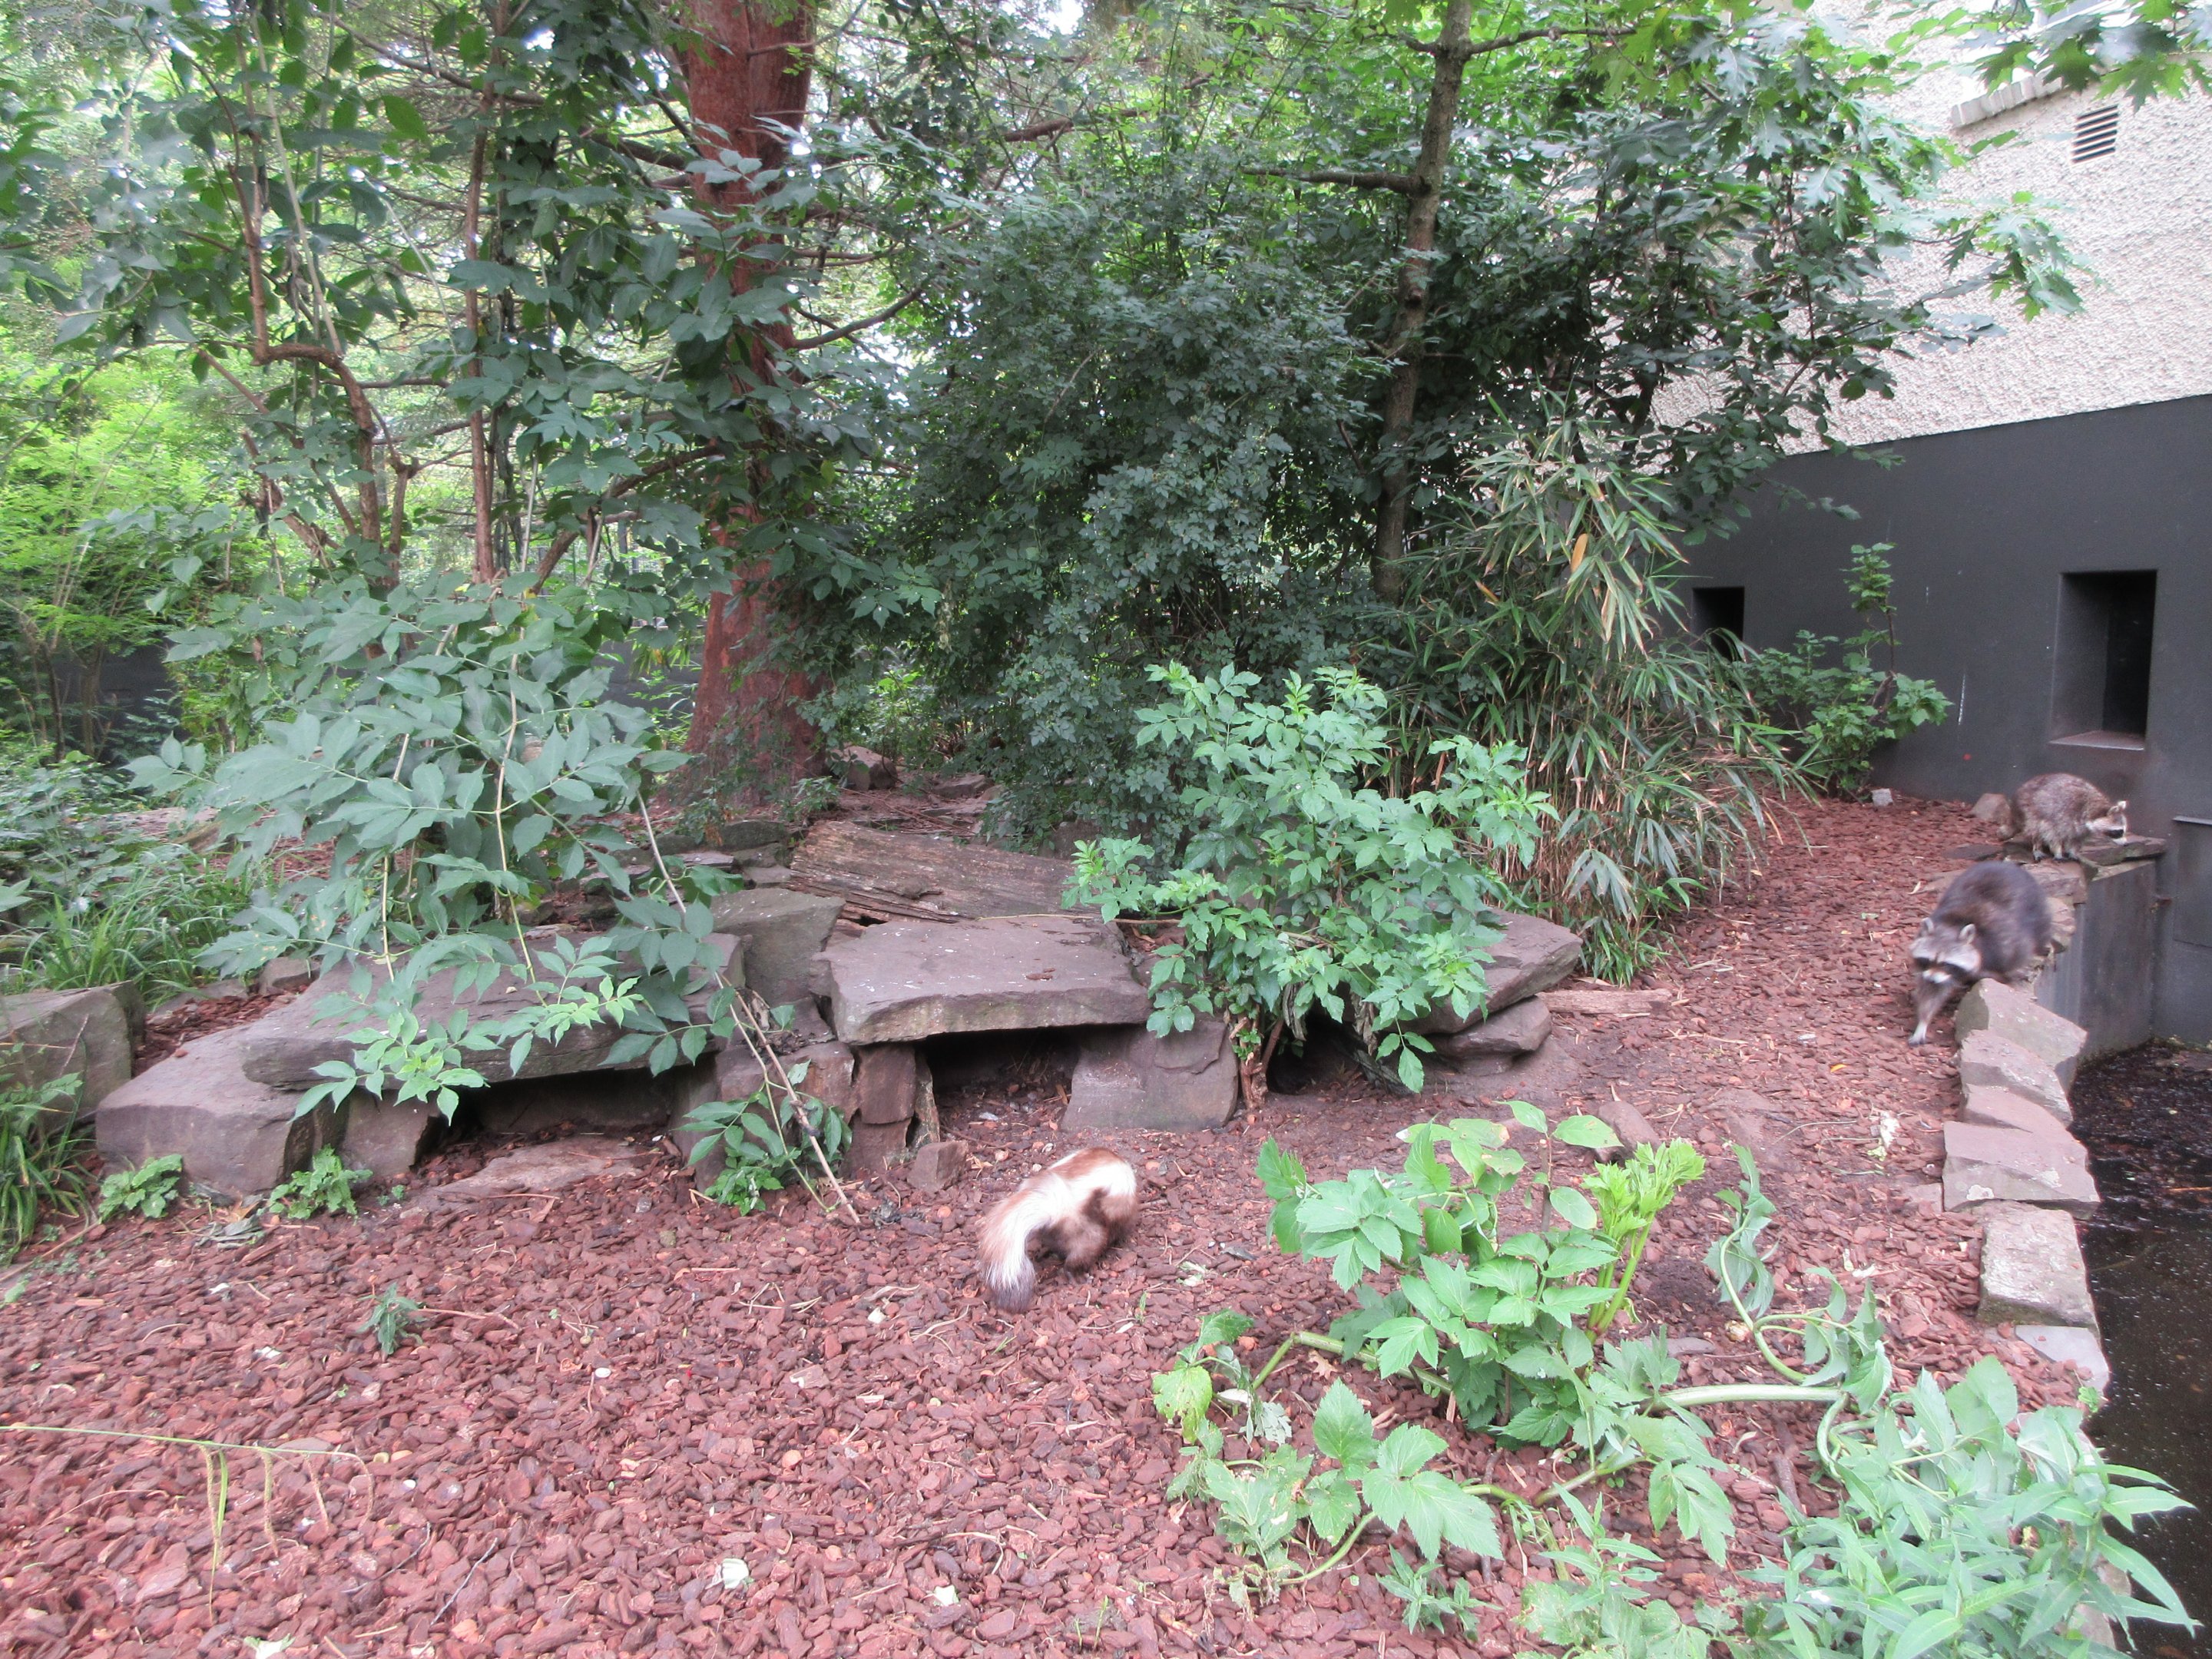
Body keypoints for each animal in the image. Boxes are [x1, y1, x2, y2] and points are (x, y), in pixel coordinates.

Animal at [1908, 860, 2054, 1045]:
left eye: (1947, 964)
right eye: (1928, 960)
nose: (1933, 980)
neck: (1953, 925)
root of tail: (2005, 865)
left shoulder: (2005, 943)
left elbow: (2012, 961)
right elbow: (1932, 992)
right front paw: (1924, 1020)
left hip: (2039, 912)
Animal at [2003, 773, 2129, 861]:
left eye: (2124, 830)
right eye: (2118, 832)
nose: (2126, 844)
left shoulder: (2082, 829)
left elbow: (2075, 839)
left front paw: (2073, 852)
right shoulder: (2060, 815)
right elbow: (2053, 835)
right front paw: (2057, 852)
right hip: (2030, 810)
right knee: (2036, 829)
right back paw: (2037, 847)